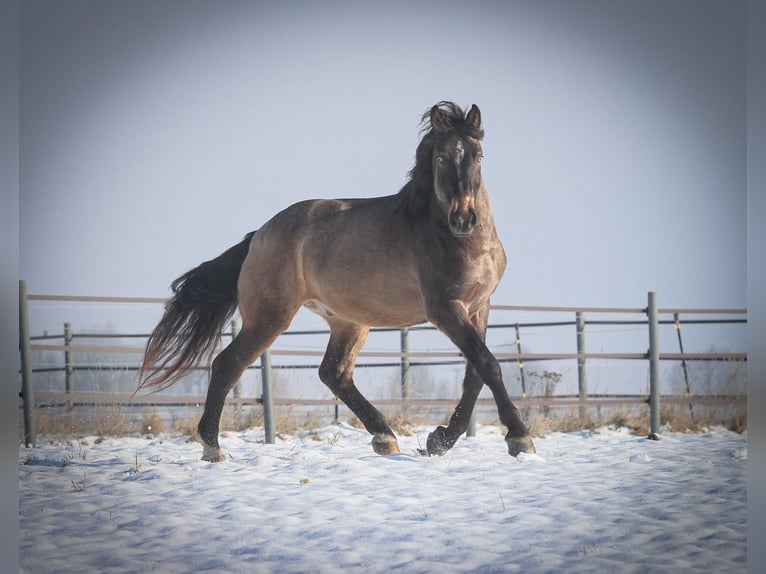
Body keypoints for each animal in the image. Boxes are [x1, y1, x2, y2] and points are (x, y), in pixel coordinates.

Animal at [138, 101, 536, 461]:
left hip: (348, 321)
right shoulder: (445, 309)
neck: (456, 241)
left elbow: (475, 374)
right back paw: (213, 448)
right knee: (226, 365)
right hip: (270, 317)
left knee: (334, 373)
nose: (463, 218)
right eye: (440, 157)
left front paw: (440, 440)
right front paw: (519, 438)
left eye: (478, 156)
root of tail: (259, 235)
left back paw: (384, 437)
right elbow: (488, 364)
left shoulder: (479, 306)